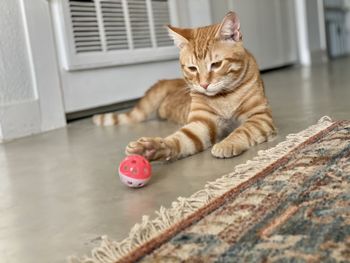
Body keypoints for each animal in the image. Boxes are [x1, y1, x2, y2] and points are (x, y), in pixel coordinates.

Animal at [92, 11, 276, 161]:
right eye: (192, 68)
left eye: (216, 65)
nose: (204, 84)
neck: (223, 97)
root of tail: (169, 80)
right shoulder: (201, 123)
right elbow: (179, 140)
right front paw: (152, 148)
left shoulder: (260, 117)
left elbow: (242, 130)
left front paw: (227, 143)